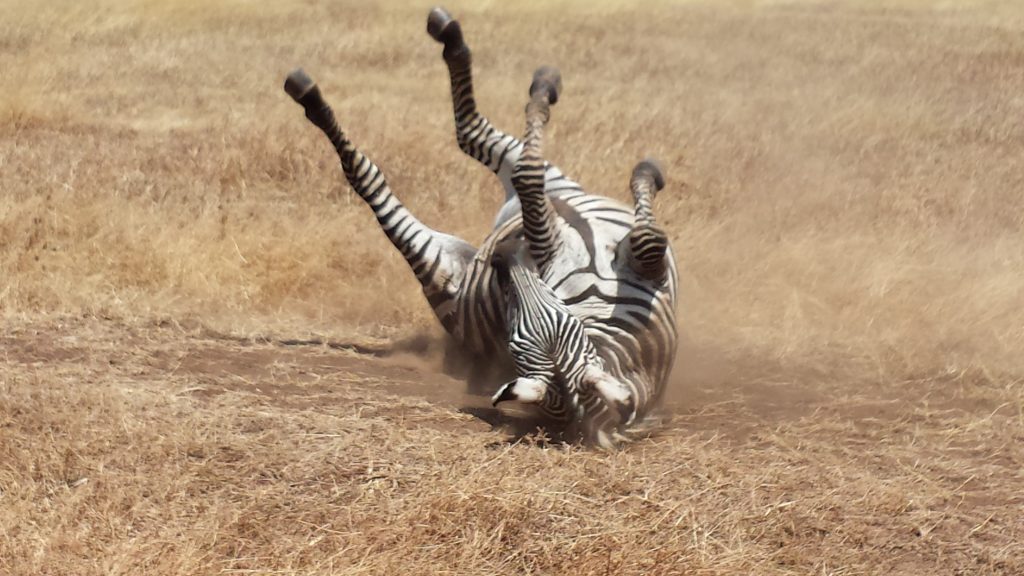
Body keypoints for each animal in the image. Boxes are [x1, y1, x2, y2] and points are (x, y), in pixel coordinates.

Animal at [283, 7, 678, 446]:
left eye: (520, 332)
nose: (501, 258)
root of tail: (469, 261)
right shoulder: (616, 257)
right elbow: (642, 233)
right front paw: (646, 175)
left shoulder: (595, 255)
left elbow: (543, 184)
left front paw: (644, 176)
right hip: (549, 194)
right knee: (481, 143)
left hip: (447, 263)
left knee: (399, 163)